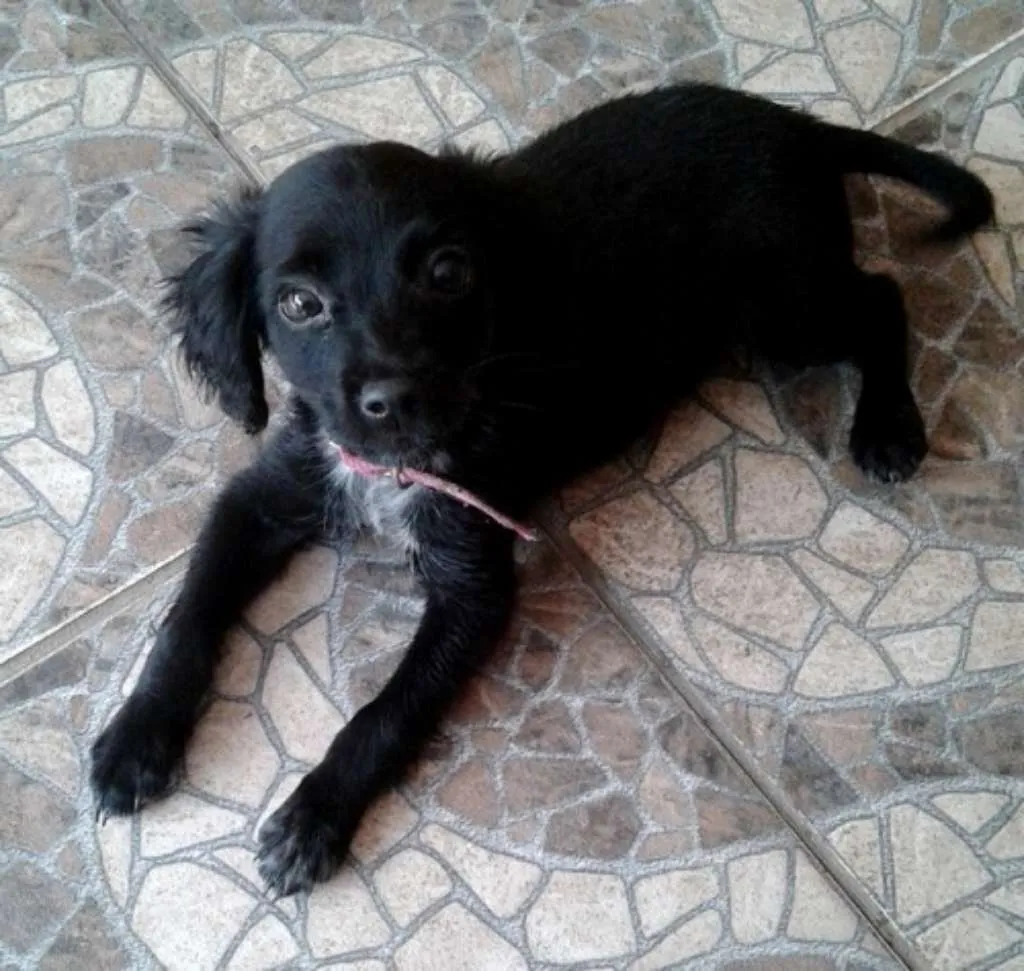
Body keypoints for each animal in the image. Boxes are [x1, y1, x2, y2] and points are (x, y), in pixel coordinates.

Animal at [90, 82, 993, 895]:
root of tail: (793, 124)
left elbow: (386, 710)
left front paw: (316, 814)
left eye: (447, 271)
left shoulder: (473, 580)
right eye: (300, 303)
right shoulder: (263, 496)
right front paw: (137, 734)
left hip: (782, 307)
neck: (392, 465)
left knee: (883, 295)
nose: (395, 398)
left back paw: (888, 425)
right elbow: (187, 616)